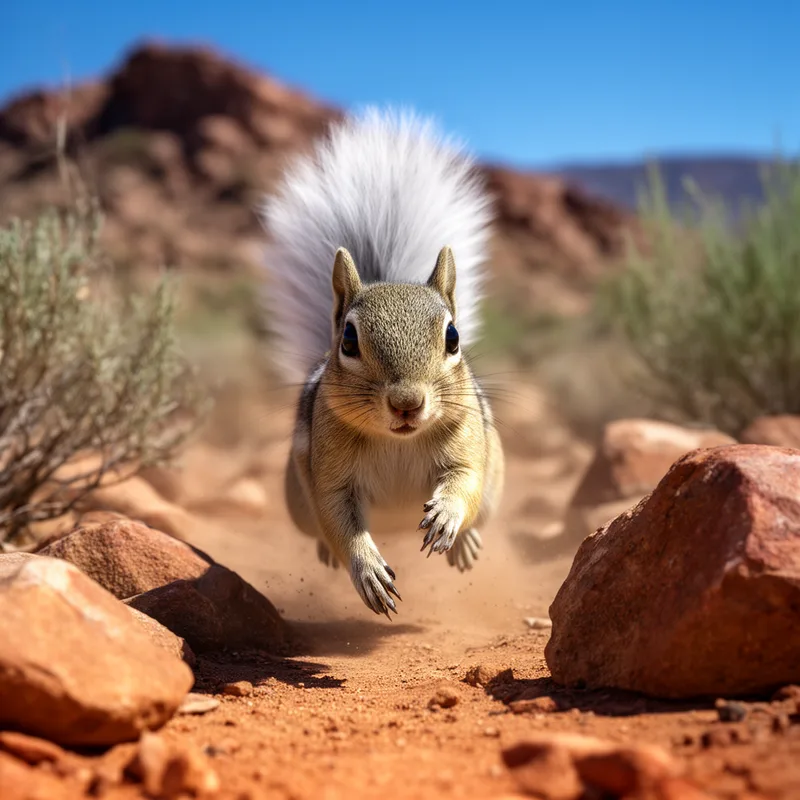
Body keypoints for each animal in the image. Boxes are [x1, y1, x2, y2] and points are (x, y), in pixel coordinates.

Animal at [260, 108, 505, 618]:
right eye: (348, 340)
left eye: (453, 336)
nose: (407, 403)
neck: (398, 443)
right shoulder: (330, 477)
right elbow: (339, 521)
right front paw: (368, 571)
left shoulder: (468, 446)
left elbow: (464, 481)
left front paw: (448, 518)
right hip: (296, 503)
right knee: (319, 529)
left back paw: (466, 543)